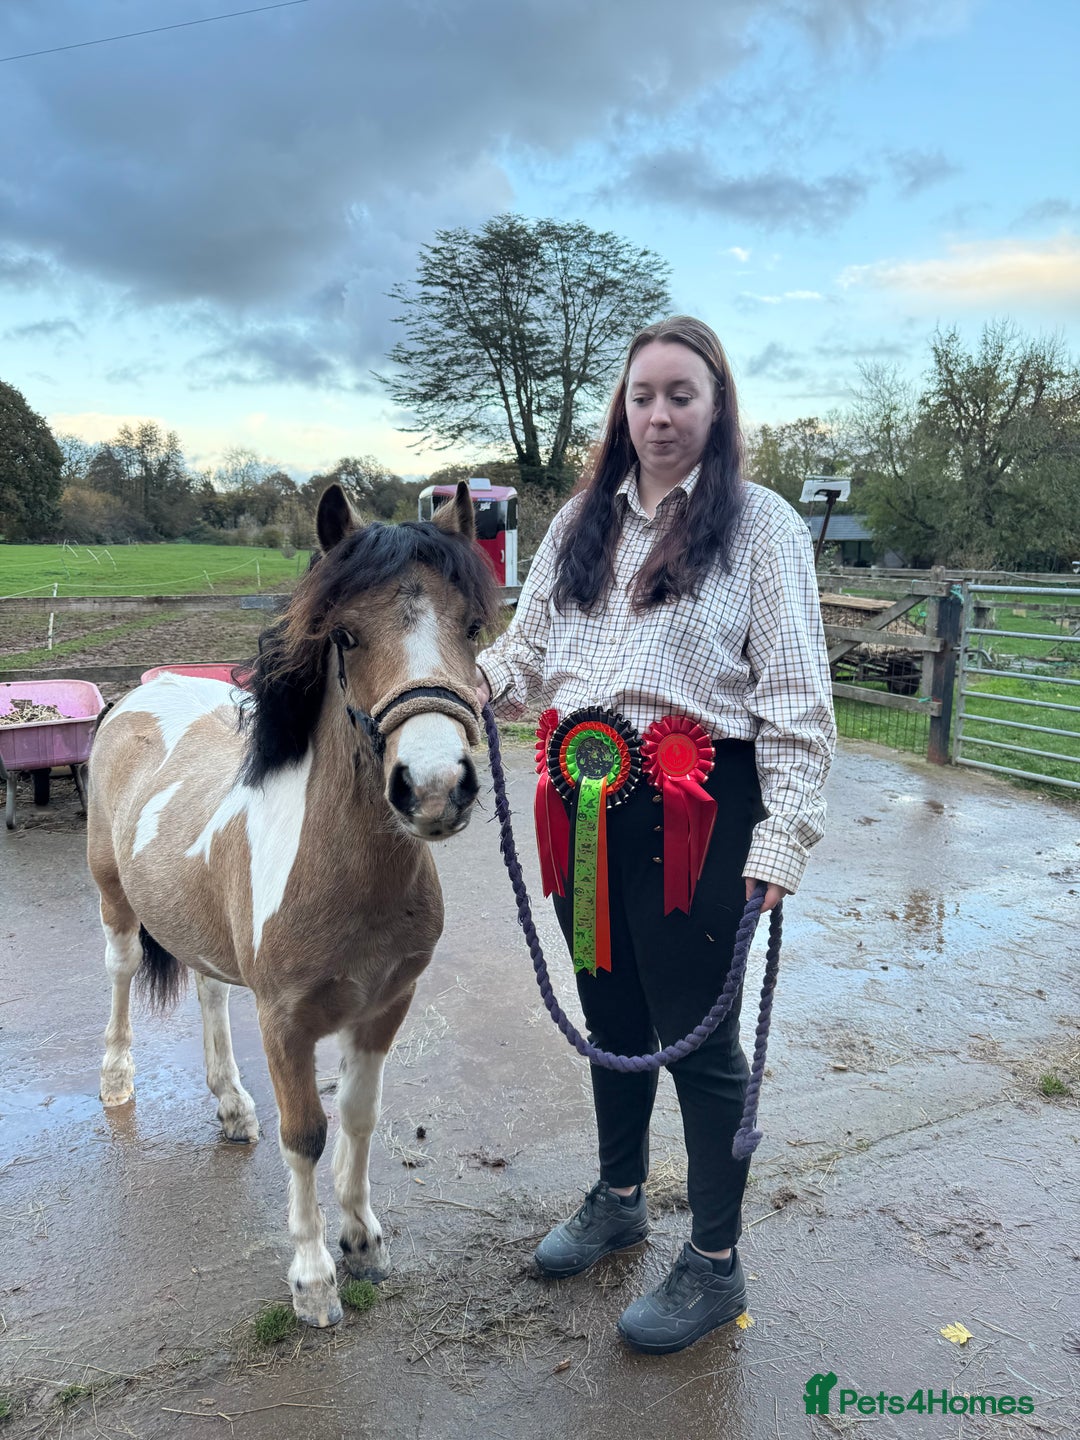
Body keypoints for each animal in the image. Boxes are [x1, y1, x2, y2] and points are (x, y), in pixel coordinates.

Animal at [87, 481, 499, 1327]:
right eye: (345, 635)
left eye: (471, 627)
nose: (435, 786)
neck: (345, 877)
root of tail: (142, 694)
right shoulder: (285, 1021)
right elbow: (305, 1133)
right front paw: (312, 1279)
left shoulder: (385, 1006)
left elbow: (360, 1116)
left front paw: (363, 1240)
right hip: (114, 899)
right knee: (119, 970)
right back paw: (117, 1080)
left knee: (208, 988)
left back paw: (231, 1106)